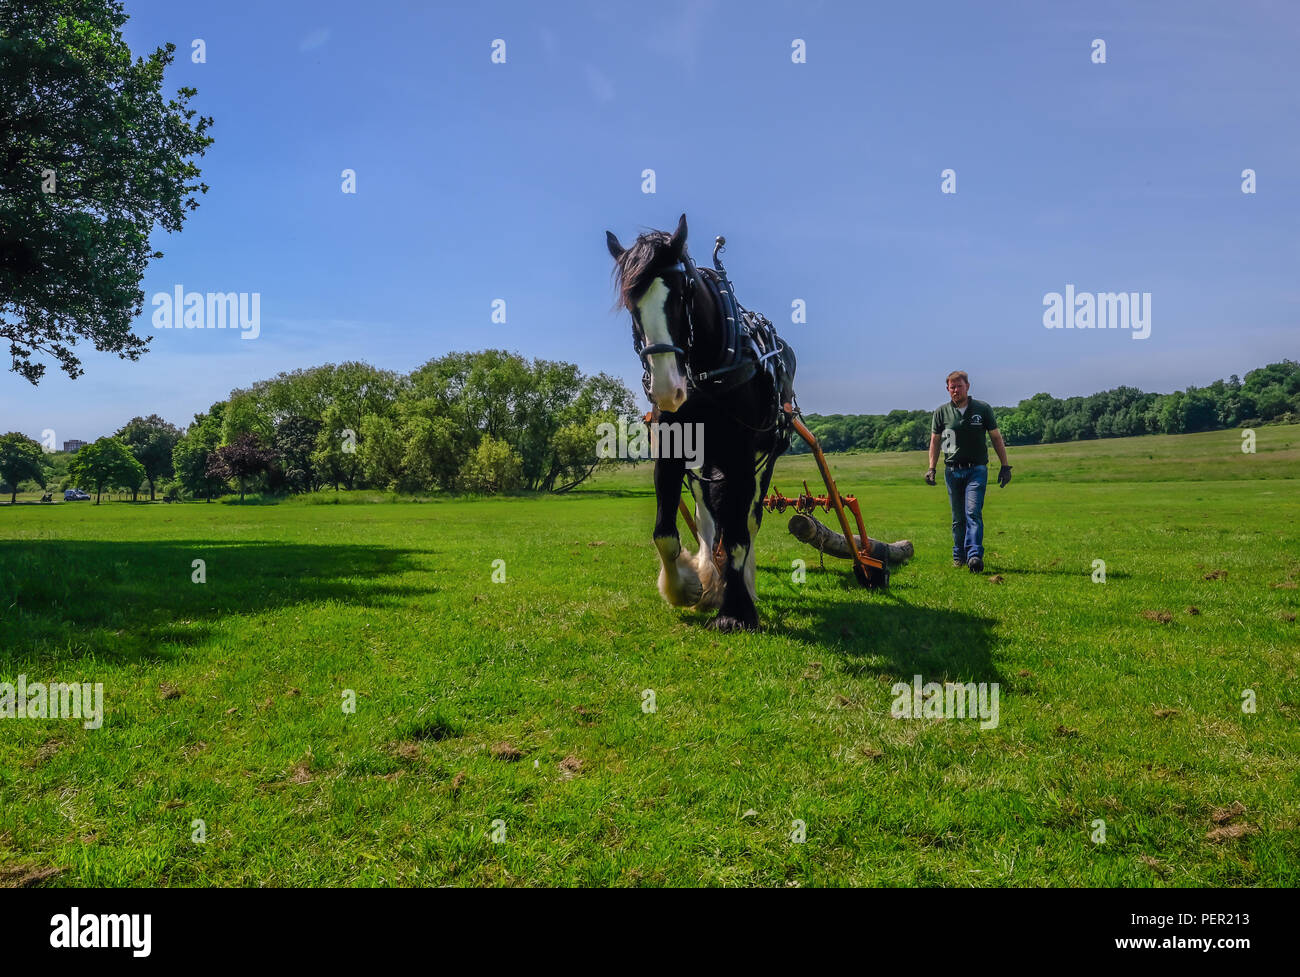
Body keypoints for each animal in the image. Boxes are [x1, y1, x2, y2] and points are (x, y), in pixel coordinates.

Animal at [605, 211, 795, 634]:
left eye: (682, 294)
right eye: (631, 303)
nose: (666, 389)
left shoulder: (741, 457)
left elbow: (739, 535)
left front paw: (736, 610)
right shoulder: (672, 451)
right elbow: (665, 534)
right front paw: (689, 587)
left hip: (766, 456)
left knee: (749, 519)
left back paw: (743, 585)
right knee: (708, 518)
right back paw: (711, 575)